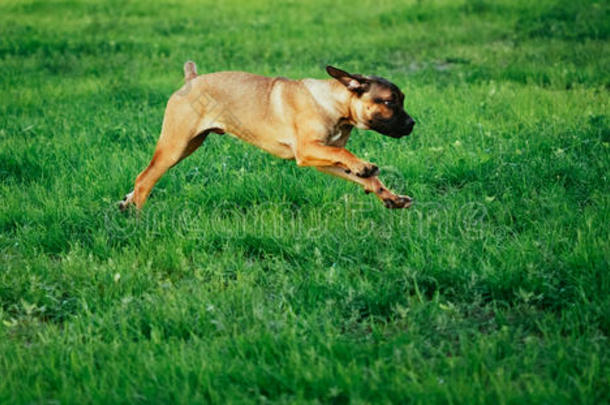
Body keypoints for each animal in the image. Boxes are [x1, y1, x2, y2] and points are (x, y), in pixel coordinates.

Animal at [119, 62, 414, 211]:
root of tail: (191, 80)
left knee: (144, 178)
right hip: (175, 146)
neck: (334, 102)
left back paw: (127, 203)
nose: (412, 124)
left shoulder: (325, 161)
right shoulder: (308, 150)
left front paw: (390, 197)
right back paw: (138, 216)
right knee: (145, 179)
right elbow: (346, 153)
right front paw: (364, 165)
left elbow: (366, 176)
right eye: (390, 102)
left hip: (187, 146)